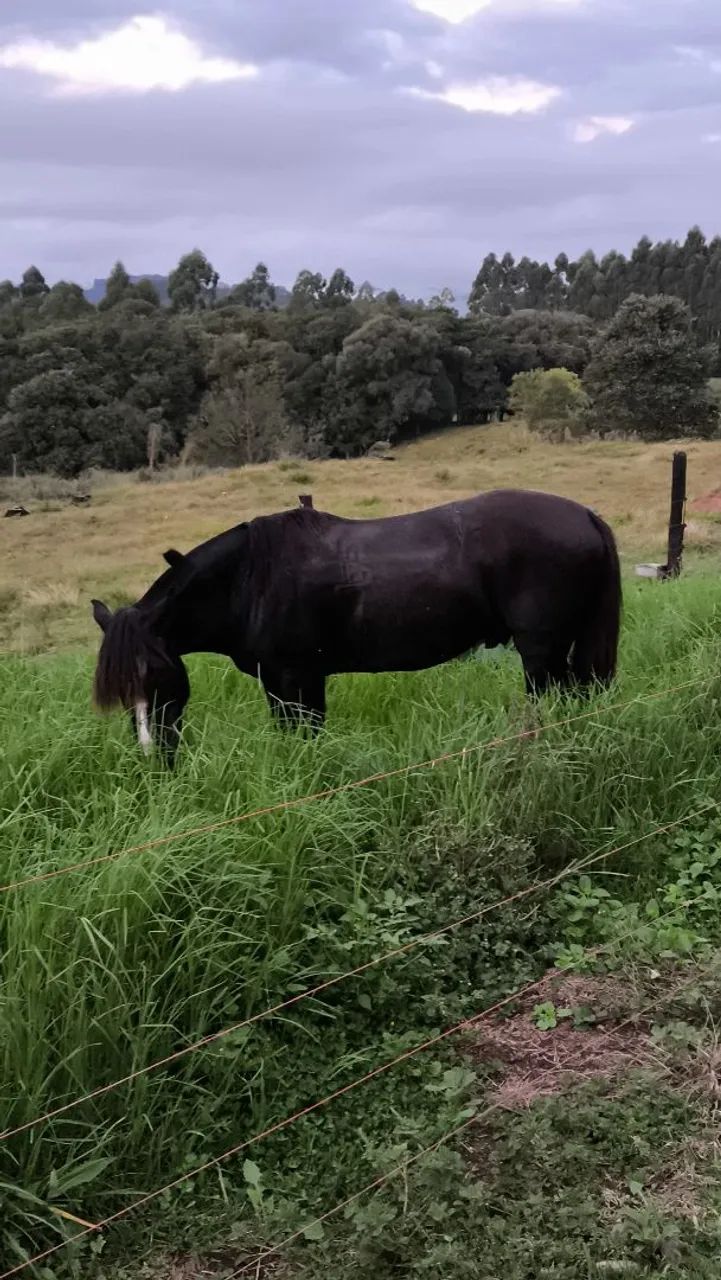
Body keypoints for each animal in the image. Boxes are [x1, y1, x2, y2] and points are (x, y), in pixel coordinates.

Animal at [91, 490, 621, 765]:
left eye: (159, 678)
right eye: (121, 691)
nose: (151, 757)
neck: (250, 577)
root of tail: (585, 515)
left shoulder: (295, 679)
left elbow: (303, 736)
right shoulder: (289, 682)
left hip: (541, 653)